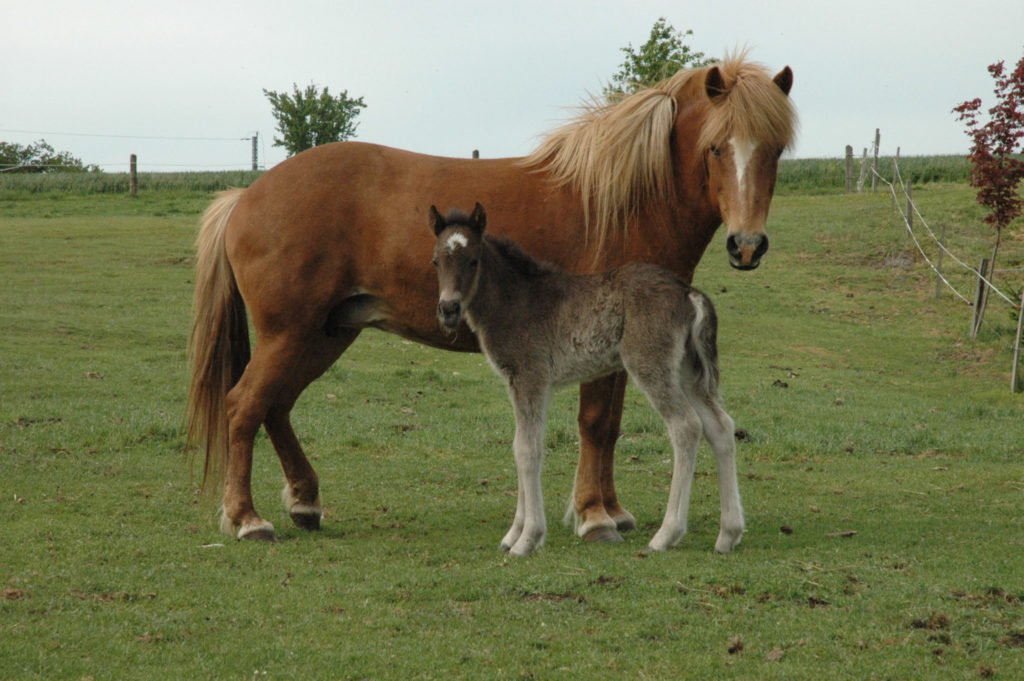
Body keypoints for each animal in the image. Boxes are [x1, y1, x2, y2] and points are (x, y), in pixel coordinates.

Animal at [190, 53, 798, 540]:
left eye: (774, 151)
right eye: (716, 148)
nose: (746, 245)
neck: (620, 200)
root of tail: (248, 195)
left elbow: (609, 425)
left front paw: (610, 511)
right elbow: (595, 422)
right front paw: (594, 516)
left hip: (324, 334)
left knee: (276, 406)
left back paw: (306, 502)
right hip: (291, 334)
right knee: (244, 406)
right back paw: (247, 519)